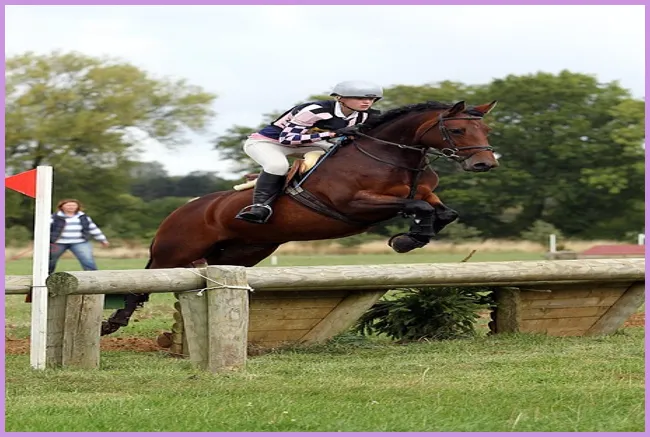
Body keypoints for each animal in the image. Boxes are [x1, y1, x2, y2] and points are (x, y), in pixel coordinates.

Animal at [100, 99, 500, 336]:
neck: (391, 156)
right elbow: (418, 207)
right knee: (142, 283)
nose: (484, 164)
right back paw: (112, 324)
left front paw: (412, 237)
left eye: (486, 130)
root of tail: (183, 209)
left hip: (241, 252)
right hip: (176, 250)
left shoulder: (423, 193)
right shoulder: (354, 206)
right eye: (458, 129)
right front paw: (406, 238)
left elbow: (442, 210)